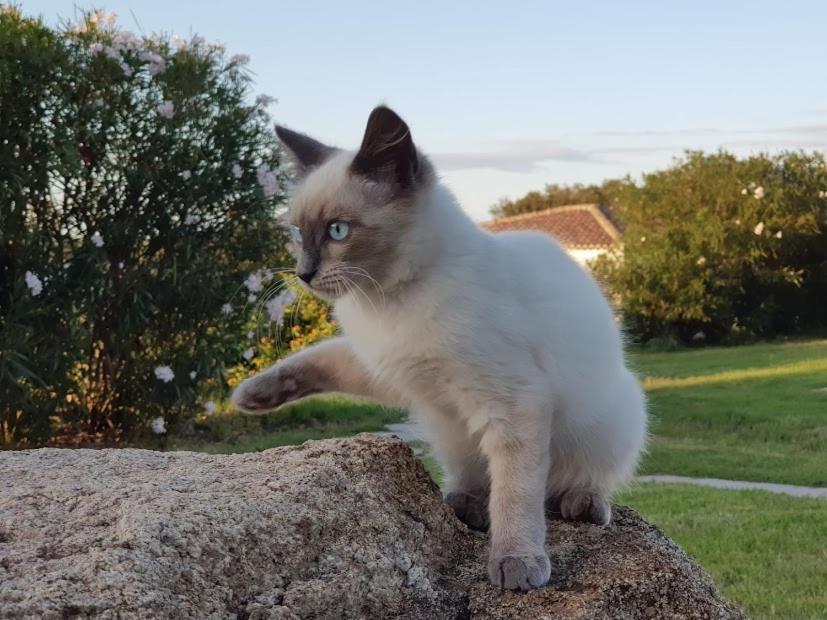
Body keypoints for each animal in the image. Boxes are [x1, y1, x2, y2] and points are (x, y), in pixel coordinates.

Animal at [231, 106, 648, 592]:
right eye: (298, 234)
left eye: (337, 231)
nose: (303, 273)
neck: (388, 302)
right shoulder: (392, 370)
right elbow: (319, 358)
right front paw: (252, 394)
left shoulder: (513, 402)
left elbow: (516, 494)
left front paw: (516, 563)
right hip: (451, 432)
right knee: (474, 477)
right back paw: (464, 504)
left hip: (609, 419)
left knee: (567, 486)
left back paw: (582, 503)